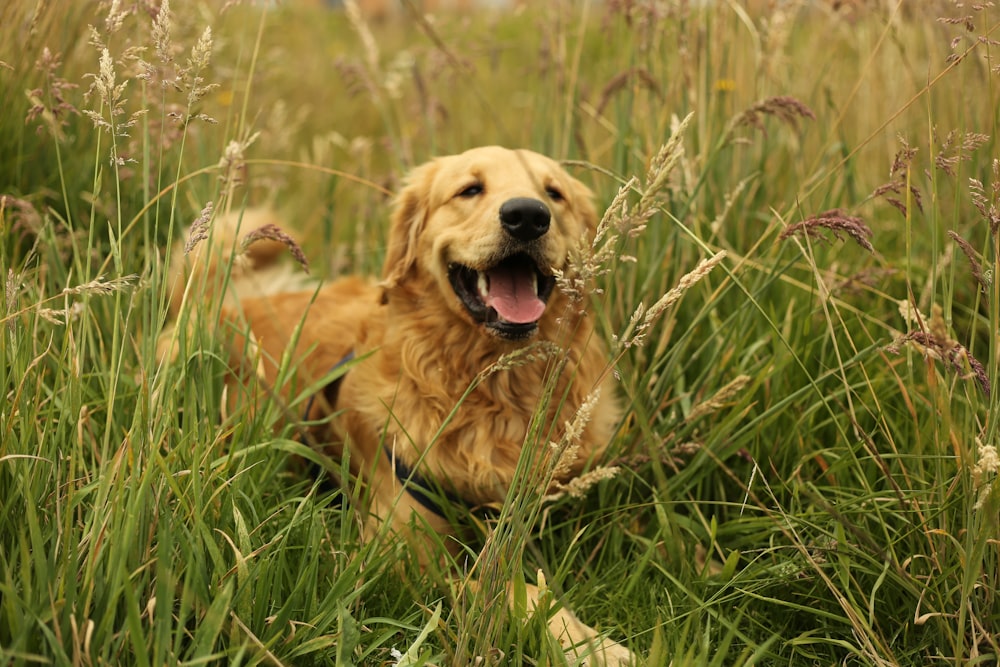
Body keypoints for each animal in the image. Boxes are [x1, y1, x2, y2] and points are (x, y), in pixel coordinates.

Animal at [164, 149, 632, 664]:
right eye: (470, 189)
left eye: (554, 193)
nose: (528, 216)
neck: (490, 386)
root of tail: (222, 303)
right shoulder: (400, 550)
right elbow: (510, 590)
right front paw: (588, 645)